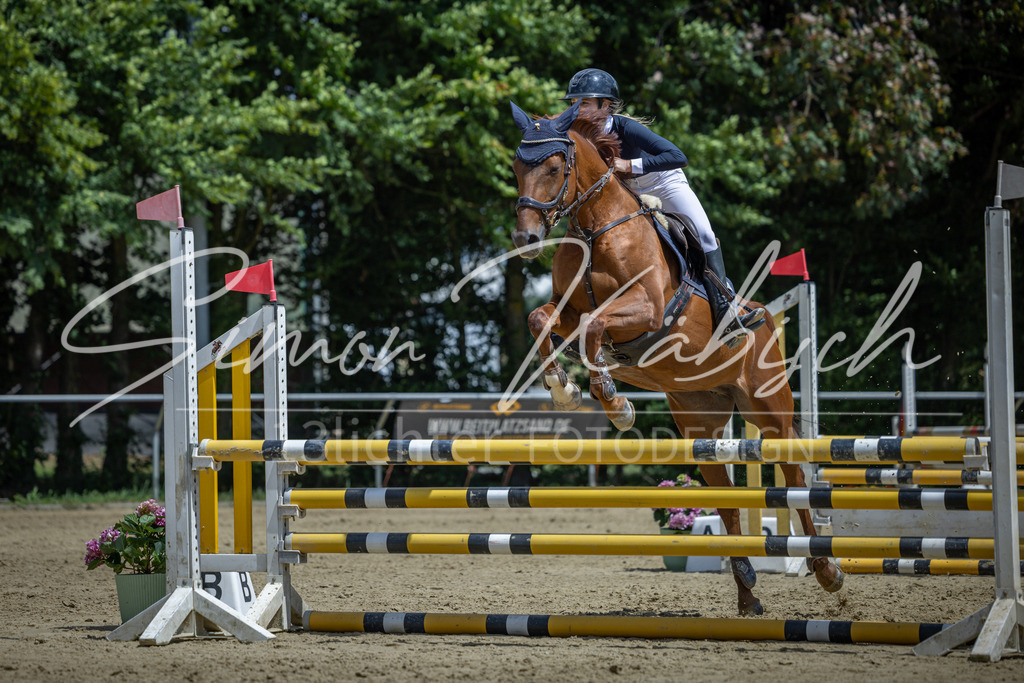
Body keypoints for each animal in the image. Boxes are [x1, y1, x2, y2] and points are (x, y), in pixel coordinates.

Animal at [509, 100, 843, 615]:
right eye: (516, 167)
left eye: (553, 167)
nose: (525, 238)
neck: (596, 226)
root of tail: (764, 316)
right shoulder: (568, 309)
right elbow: (540, 319)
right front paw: (564, 390)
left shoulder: (645, 309)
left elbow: (596, 328)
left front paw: (614, 402)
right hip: (700, 423)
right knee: (726, 498)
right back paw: (747, 591)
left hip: (769, 411)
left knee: (791, 475)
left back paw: (826, 570)